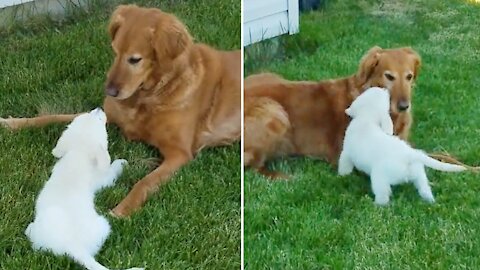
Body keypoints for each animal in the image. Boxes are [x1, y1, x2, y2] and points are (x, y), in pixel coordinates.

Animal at [0, 5, 240, 217]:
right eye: (115, 51)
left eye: (135, 59)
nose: (109, 92)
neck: (150, 94)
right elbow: (51, 116)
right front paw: (12, 123)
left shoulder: (179, 153)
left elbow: (144, 182)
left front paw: (121, 210)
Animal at [25, 108, 143, 270]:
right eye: (99, 120)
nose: (98, 108)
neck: (79, 153)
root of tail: (73, 246)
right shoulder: (103, 179)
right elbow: (111, 170)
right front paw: (121, 163)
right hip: (103, 224)